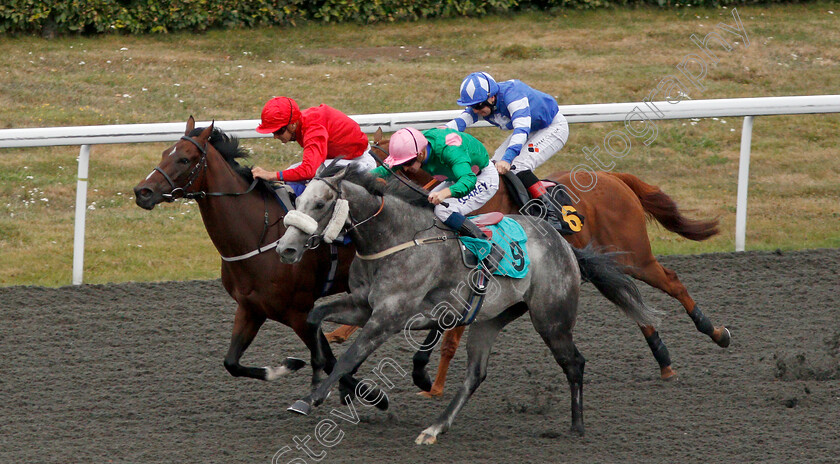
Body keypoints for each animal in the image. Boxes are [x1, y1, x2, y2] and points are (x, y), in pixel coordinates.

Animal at [132, 117, 388, 410]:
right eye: (165, 153)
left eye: (184, 159)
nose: (142, 191)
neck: (257, 236)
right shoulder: (251, 307)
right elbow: (231, 362)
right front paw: (289, 365)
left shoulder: (299, 312)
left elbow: (329, 358)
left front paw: (373, 397)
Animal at [272, 164, 660, 442]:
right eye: (299, 201)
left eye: (320, 204)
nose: (286, 249)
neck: (395, 238)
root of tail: (563, 243)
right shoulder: (362, 305)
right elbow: (315, 317)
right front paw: (327, 379)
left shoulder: (389, 317)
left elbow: (350, 356)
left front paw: (313, 398)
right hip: (491, 320)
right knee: (476, 374)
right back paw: (435, 428)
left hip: (551, 318)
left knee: (575, 363)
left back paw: (577, 425)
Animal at [324, 130, 732, 396]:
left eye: (370, 156)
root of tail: (616, 178)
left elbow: (447, 335)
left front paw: (432, 384)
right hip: (608, 263)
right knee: (634, 304)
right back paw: (664, 360)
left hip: (635, 256)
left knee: (671, 281)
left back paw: (714, 331)